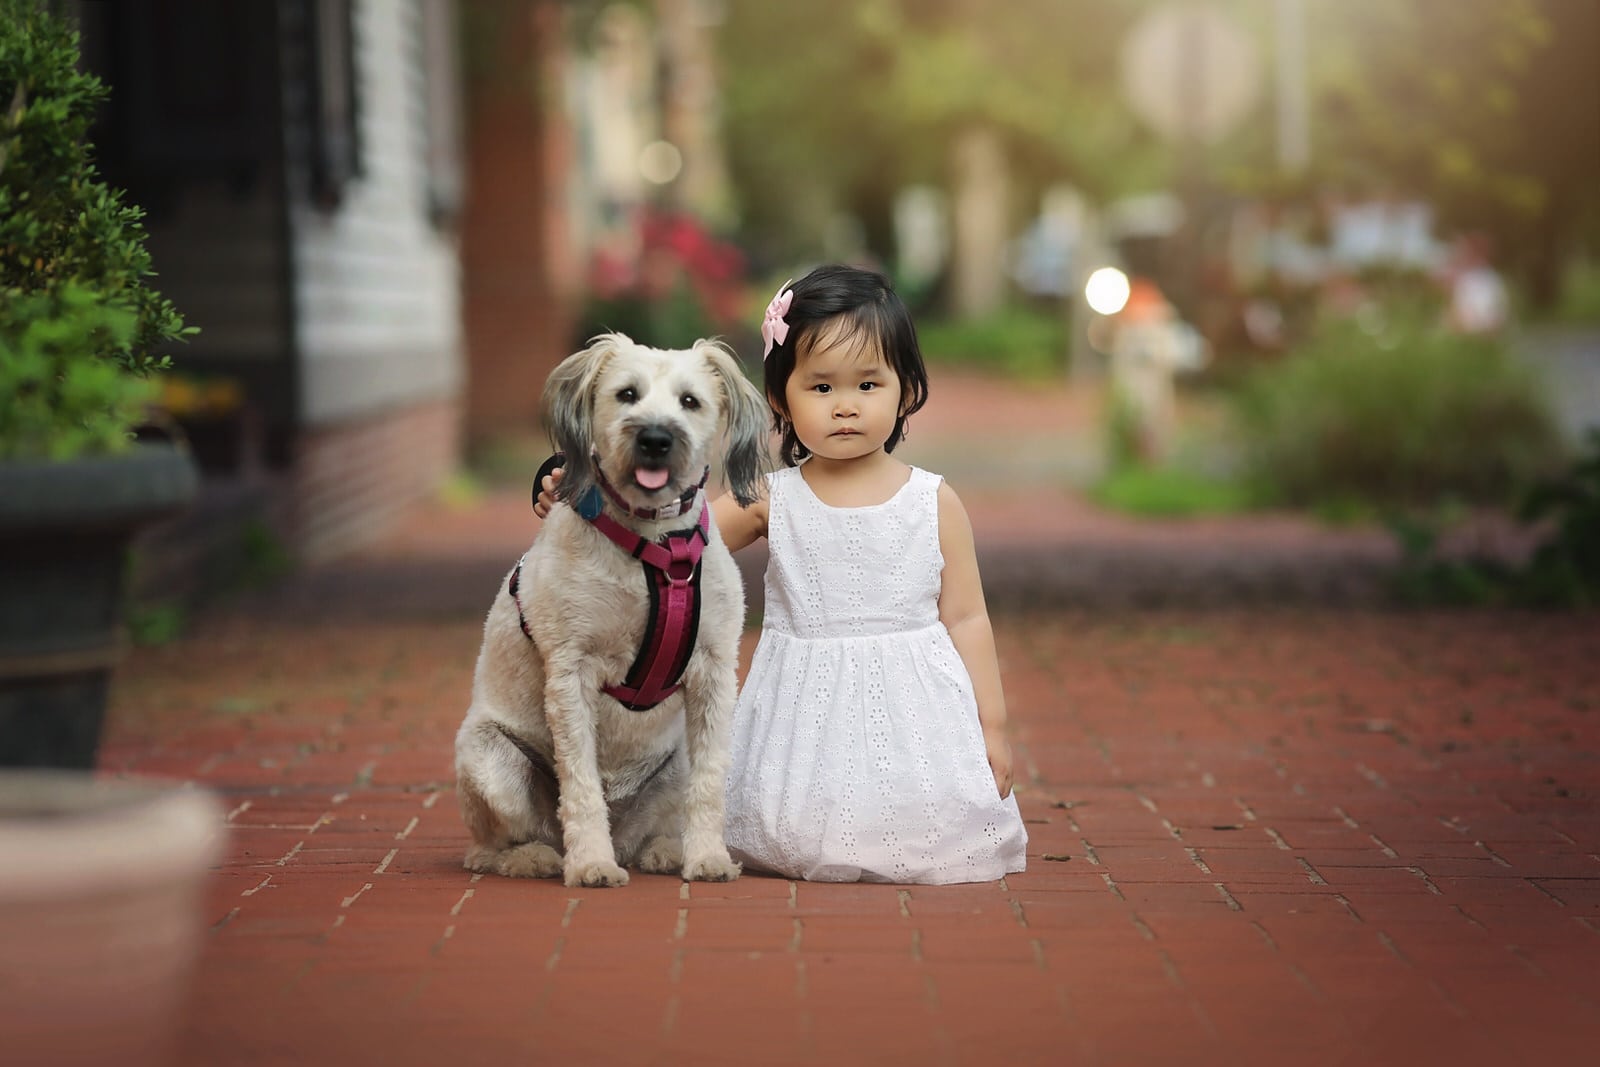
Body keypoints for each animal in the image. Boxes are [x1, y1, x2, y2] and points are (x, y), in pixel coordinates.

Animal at [454, 337, 771, 889]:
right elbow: (579, 784)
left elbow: (710, 782)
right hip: (489, 759)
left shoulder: (713, 672)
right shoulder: (570, 674)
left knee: (653, 824)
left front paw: (708, 857)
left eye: (690, 401)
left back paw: (662, 849)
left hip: (671, 765)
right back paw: (534, 858)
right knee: (492, 845)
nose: (655, 438)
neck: (654, 545)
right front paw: (591, 865)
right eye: (626, 394)